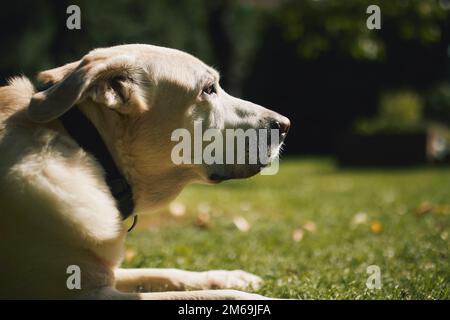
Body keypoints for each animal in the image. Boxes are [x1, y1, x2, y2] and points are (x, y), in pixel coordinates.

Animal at [0, 43, 290, 298]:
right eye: (208, 89)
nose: (285, 124)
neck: (91, 147)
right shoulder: (91, 293)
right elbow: (217, 296)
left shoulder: (109, 274)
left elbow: (166, 273)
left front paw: (229, 276)